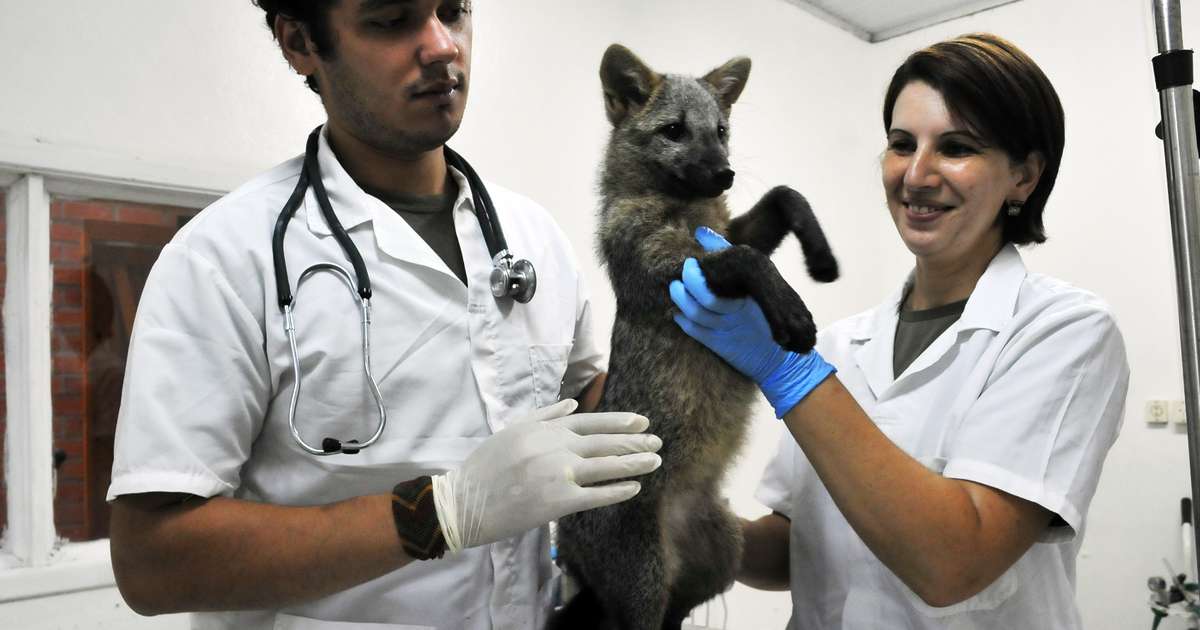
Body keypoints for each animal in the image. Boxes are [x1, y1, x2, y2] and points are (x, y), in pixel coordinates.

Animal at [549, 45, 840, 628]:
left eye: (721, 131)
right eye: (675, 130)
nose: (725, 173)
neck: (687, 211)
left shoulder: (725, 235)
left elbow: (784, 195)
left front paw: (820, 256)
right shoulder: (676, 267)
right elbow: (749, 258)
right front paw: (792, 314)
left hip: (722, 557)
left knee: (679, 613)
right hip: (644, 588)